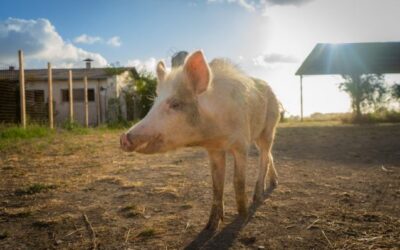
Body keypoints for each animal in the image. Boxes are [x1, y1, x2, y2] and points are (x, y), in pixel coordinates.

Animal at [120, 50, 280, 230]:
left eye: (175, 104)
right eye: (154, 103)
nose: (123, 137)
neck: (215, 133)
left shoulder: (241, 144)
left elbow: (238, 181)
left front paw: (242, 218)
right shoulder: (214, 150)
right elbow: (216, 184)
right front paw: (210, 226)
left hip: (269, 128)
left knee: (265, 156)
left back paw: (259, 196)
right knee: (269, 155)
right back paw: (274, 183)